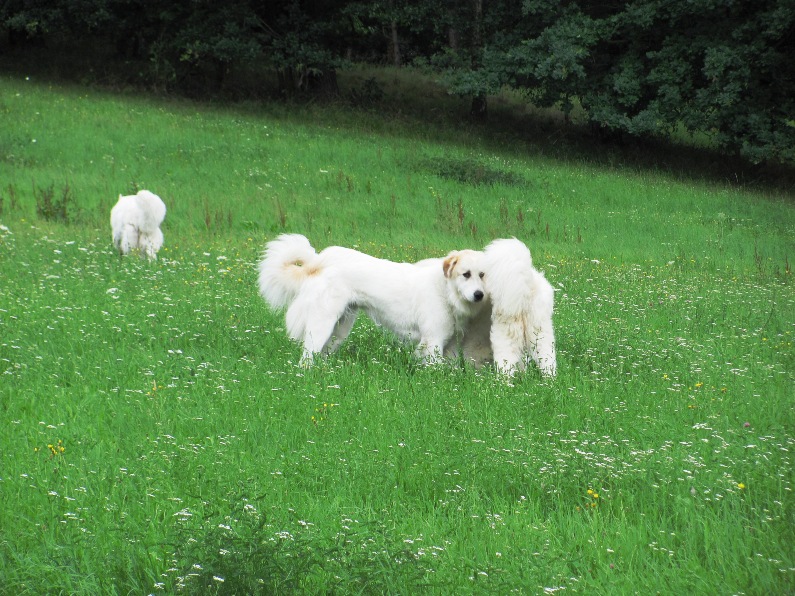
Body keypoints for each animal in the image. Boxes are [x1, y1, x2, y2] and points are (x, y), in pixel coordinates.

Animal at [258, 232, 488, 364]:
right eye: (466, 274)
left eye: (483, 275)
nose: (479, 295)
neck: (445, 290)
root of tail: (320, 264)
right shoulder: (433, 342)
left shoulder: (451, 344)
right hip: (321, 326)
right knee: (306, 359)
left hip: (339, 330)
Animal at [464, 237, 556, 378]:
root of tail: (526, 282)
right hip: (540, 330)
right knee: (547, 358)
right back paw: (549, 380)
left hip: (505, 332)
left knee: (506, 363)